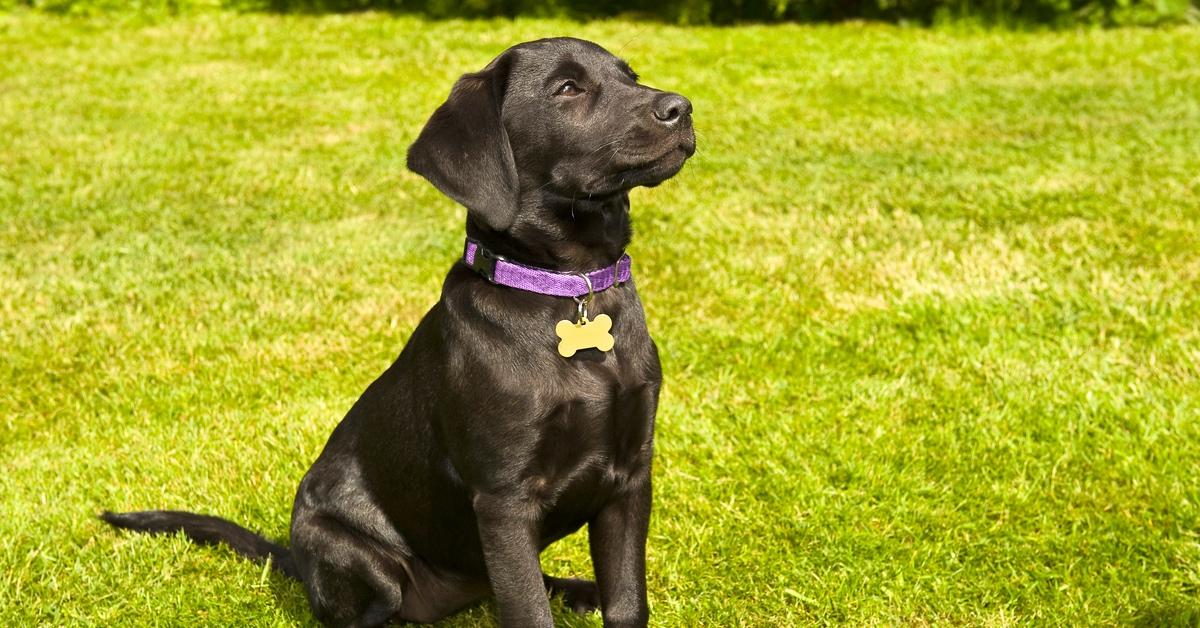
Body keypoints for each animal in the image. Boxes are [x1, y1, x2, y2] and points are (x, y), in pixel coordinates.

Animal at [103, 38, 696, 628]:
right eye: (568, 88)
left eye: (630, 76)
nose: (683, 107)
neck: (569, 289)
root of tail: (294, 557)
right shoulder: (504, 498)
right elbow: (527, 610)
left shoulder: (630, 476)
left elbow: (626, 600)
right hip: (361, 559)